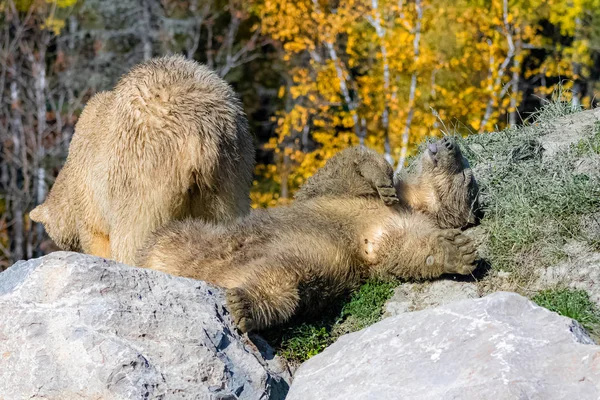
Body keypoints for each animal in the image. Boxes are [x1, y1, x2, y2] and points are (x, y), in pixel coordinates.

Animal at [29, 54, 254, 264]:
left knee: (133, 235)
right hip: (230, 173)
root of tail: (199, 137)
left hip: (143, 174)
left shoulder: (90, 194)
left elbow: (98, 237)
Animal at [138, 138, 480, 332]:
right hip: (184, 235)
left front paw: (458, 252)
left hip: (298, 269)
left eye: (467, 176)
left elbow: (405, 250)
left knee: (281, 283)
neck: (414, 202)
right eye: (466, 166)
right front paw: (380, 176)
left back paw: (245, 306)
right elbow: (338, 172)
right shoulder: (343, 197)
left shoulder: (395, 229)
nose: (449, 143)